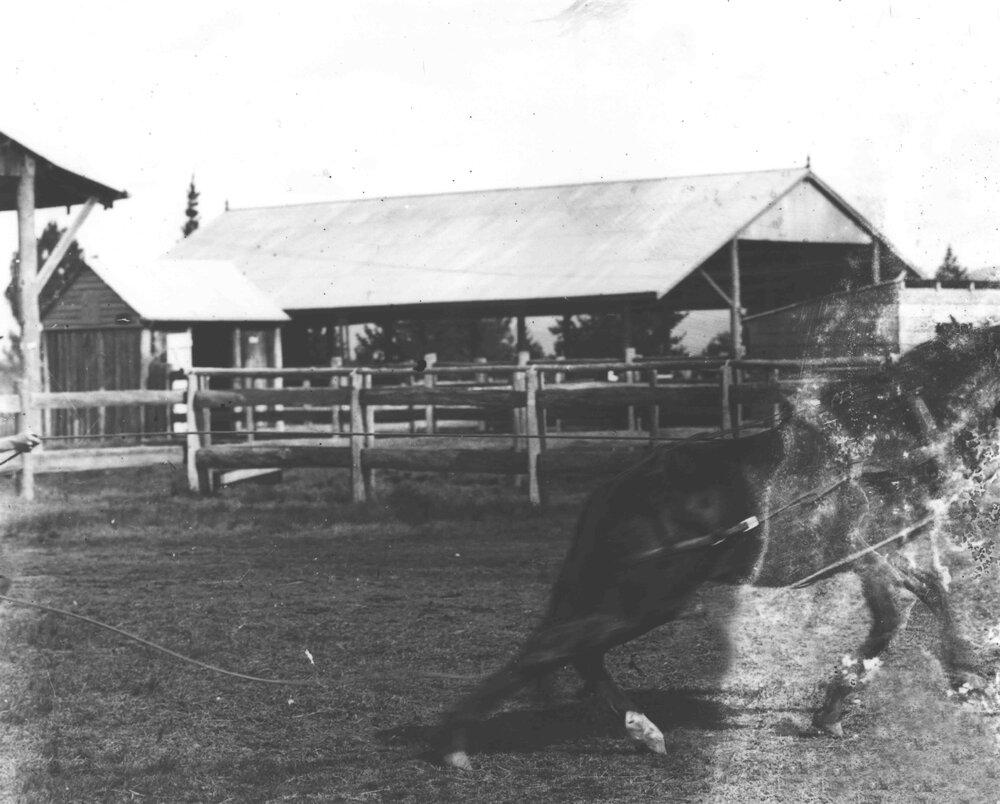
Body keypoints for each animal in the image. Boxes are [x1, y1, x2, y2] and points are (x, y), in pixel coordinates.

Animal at [440, 323, 1000, 770]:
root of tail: (616, 489)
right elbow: (926, 602)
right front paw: (971, 680)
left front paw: (832, 710)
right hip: (648, 600)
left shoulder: (881, 557)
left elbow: (900, 617)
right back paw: (455, 740)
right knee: (551, 649)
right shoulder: (873, 552)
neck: (898, 436)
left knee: (579, 652)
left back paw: (642, 731)